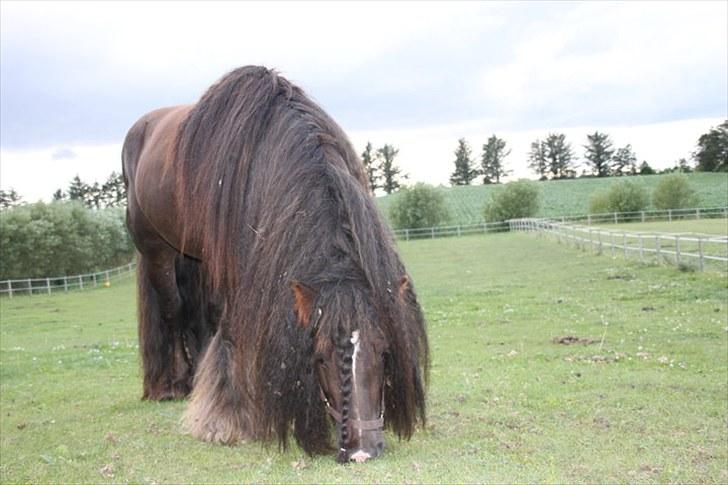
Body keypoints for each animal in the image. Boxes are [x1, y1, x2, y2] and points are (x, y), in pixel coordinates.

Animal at [122, 66, 430, 460]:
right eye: (320, 357)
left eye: (384, 351)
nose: (363, 450)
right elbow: (230, 332)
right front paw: (227, 419)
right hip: (157, 251)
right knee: (173, 311)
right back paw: (173, 384)